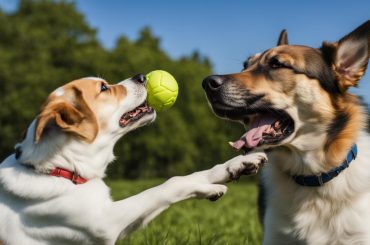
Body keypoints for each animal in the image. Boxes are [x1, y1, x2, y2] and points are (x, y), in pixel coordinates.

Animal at [0, 74, 266, 245]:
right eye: (104, 88)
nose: (141, 76)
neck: (61, 169)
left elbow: (187, 178)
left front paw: (237, 165)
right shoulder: (106, 223)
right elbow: (167, 185)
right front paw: (208, 189)